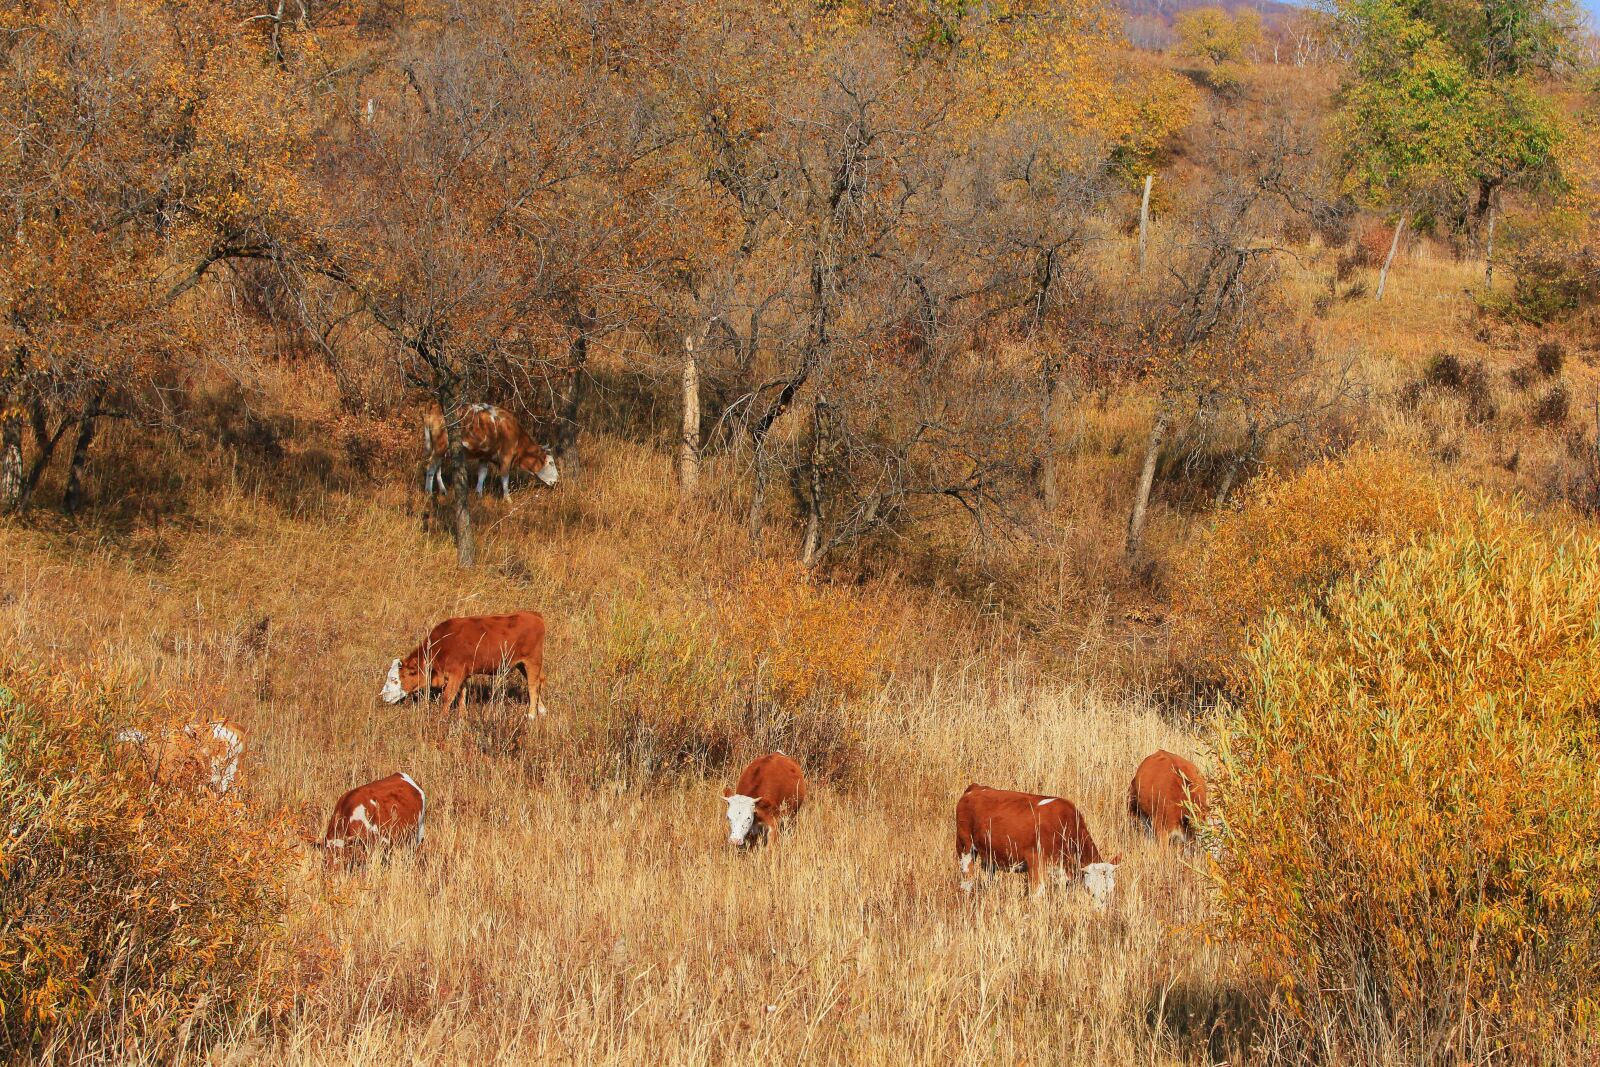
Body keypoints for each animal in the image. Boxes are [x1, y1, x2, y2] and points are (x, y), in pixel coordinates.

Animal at [380, 614, 550, 723]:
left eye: (395, 679)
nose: (383, 696)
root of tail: (534, 615)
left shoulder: (457, 673)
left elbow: (448, 696)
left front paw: (442, 719)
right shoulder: (463, 674)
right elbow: (462, 694)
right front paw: (462, 716)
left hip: (532, 662)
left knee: (532, 686)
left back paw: (531, 715)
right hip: (522, 665)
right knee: (539, 681)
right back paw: (541, 710)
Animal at [422, 403, 560, 499]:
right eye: (551, 463)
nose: (557, 479)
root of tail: (433, 405)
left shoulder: (485, 456)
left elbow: (482, 474)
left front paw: (478, 494)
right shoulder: (506, 455)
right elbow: (504, 477)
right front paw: (508, 499)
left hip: (441, 448)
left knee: (437, 467)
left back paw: (443, 490)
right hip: (441, 444)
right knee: (430, 467)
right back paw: (428, 492)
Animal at [953, 780, 1120, 908]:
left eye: (1110, 891)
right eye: (1090, 891)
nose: (1099, 914)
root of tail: (976, 788)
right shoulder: (1035, 861)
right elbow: (1037, 894)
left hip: (990, 856)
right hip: (965, 847)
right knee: (966, 881)